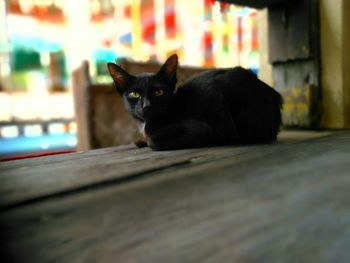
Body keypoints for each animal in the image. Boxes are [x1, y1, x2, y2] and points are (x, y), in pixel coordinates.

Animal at [106, 54, 282, 151]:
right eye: (135, 94)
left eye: (159, 92)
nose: (146, 106)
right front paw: (140, 141)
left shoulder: (202, 129)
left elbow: (153, 140)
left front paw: (147, 141)